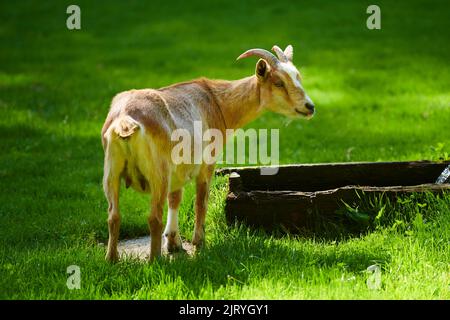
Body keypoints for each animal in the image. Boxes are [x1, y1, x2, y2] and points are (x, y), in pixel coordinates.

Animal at [100, 45, 314, 262]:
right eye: (278, 82)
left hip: (111, 170)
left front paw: (174, 242)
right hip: (158, 172)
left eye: (298, 77)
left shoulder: (178, 170)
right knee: (153, 216)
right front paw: (199, 242)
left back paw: (112, 259)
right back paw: (155, 260)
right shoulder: (206, 162)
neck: (218, 102)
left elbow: (175, 198)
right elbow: (201, 201)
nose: (309, 106)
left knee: (113, 216)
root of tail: (125, 120)